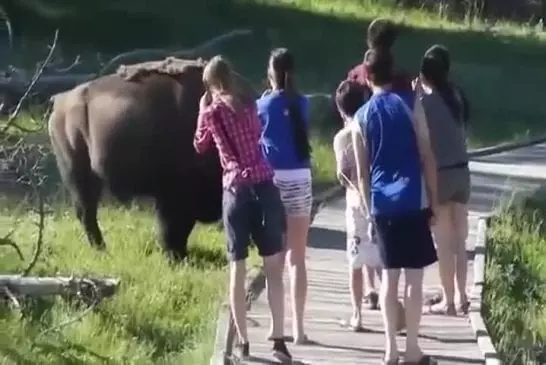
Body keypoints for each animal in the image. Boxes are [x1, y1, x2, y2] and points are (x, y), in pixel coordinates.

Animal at [47, 57, 256, 258]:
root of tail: (60, 101)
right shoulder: (173, 198)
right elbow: (172, 228)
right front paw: (175, 255)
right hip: (77, 173)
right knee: (86, 212)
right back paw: (101, 250)